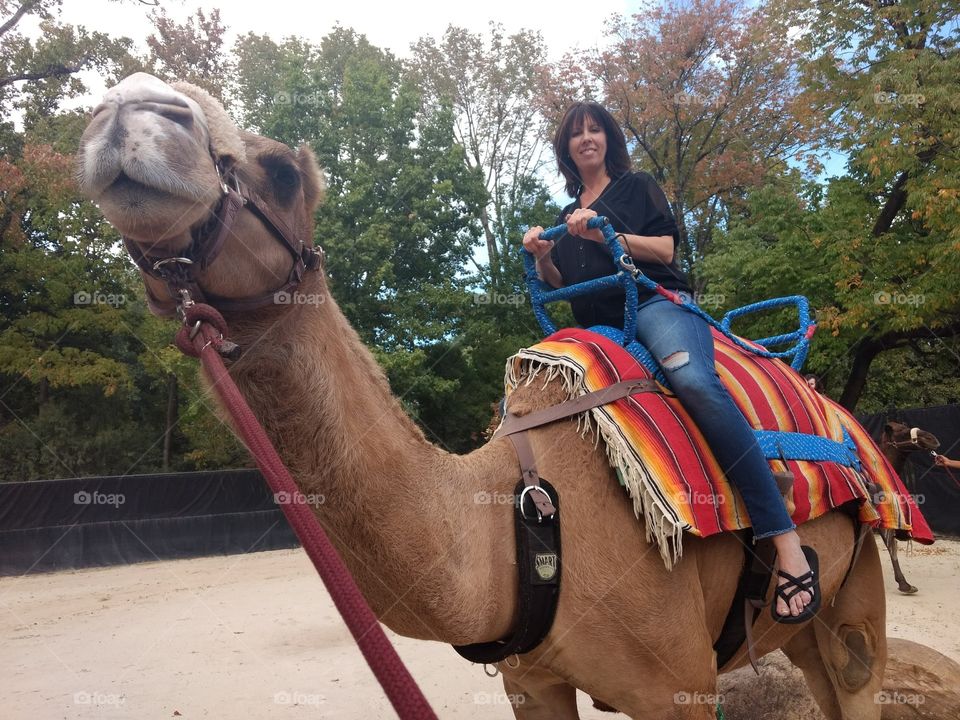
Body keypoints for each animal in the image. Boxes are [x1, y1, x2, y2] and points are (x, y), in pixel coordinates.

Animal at [78, 72, 892, 719]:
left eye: (279, 170)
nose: (125, 109)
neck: (518, 513)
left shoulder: (679, 687)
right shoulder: (532, 683)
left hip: (856, 590)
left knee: (857, 670)